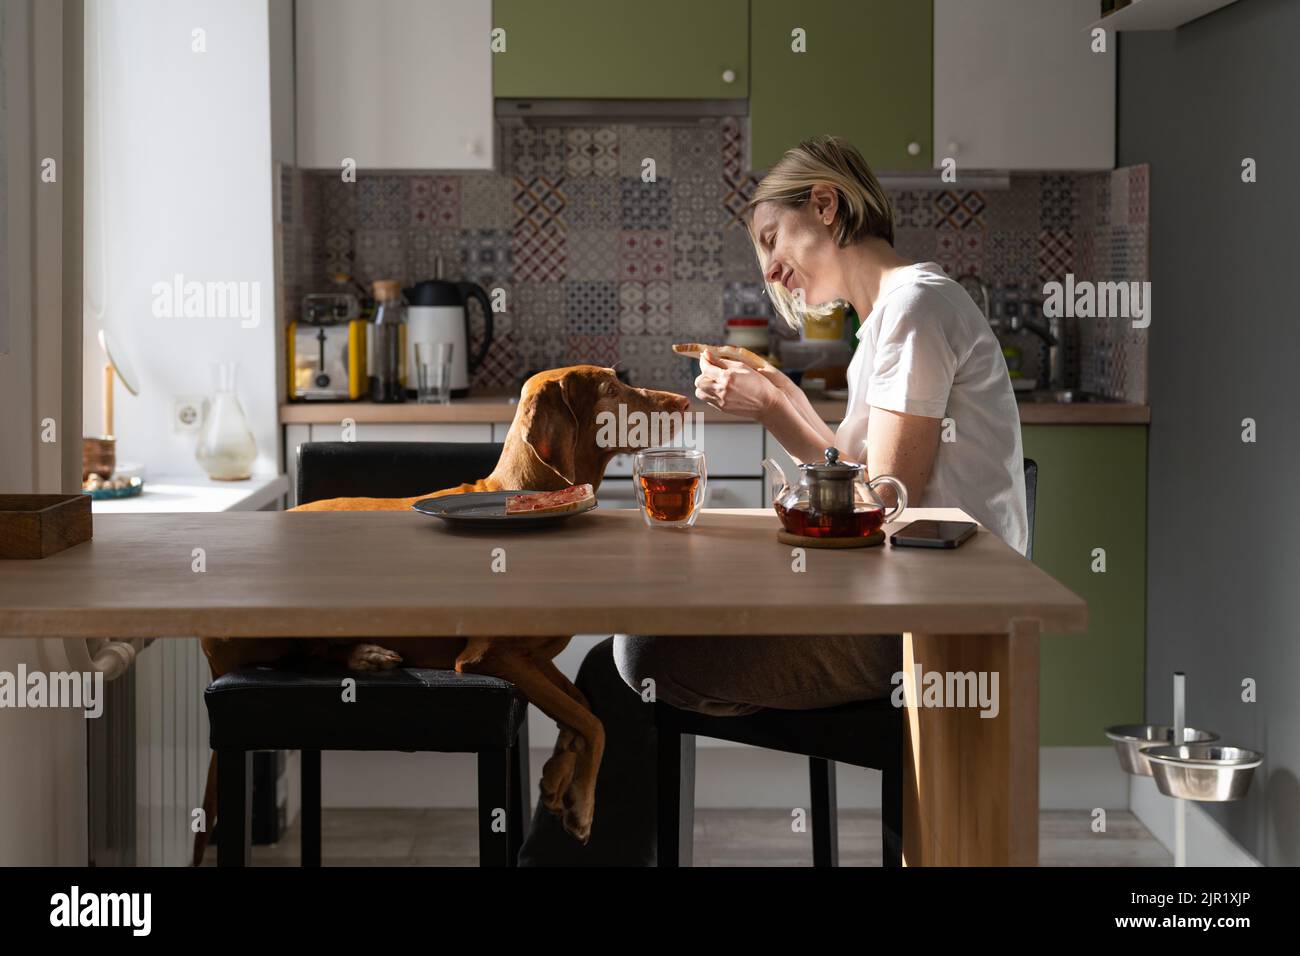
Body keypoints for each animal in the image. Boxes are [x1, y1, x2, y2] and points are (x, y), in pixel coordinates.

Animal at [192, 366, 691, 868]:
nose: (686, 403)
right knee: (305, 656)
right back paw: (365, 655)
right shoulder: (488, 658)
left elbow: (581, 705)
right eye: (610, 389)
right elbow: (593, 723)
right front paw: (582, 807)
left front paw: (554, 778)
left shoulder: (535, 659)